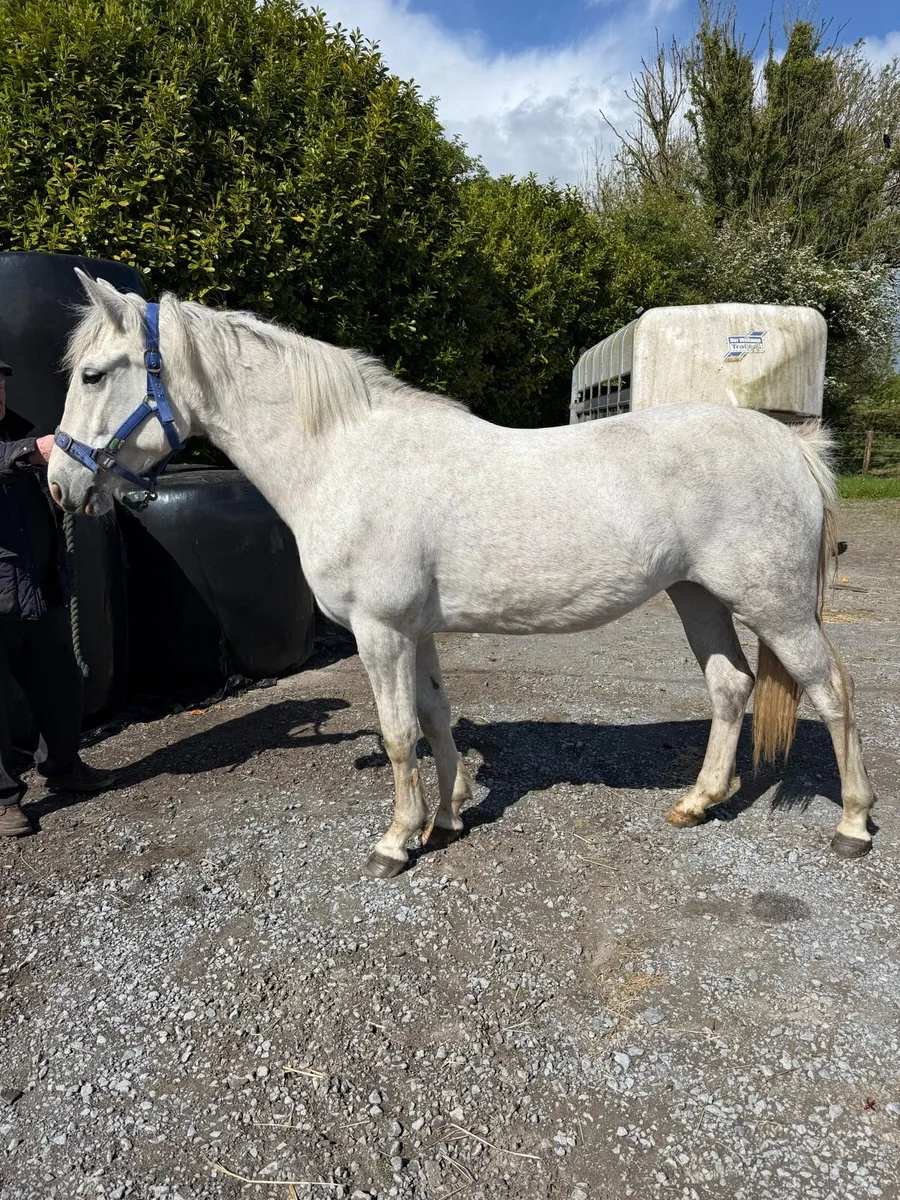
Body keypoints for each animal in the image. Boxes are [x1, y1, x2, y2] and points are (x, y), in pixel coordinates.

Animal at [48, 271, 876, 876]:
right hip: (698, 595)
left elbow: (396, 733)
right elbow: (434, 717)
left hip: (774, 605)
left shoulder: (379, 630)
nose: (60, 482)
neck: (346, 456)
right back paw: (699, 802)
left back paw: (853, 825)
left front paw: (396, 841)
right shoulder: (415, 631)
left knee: (832, 690)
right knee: (730, 687)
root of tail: (790, 445)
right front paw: (445, 818)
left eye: (93, 374)